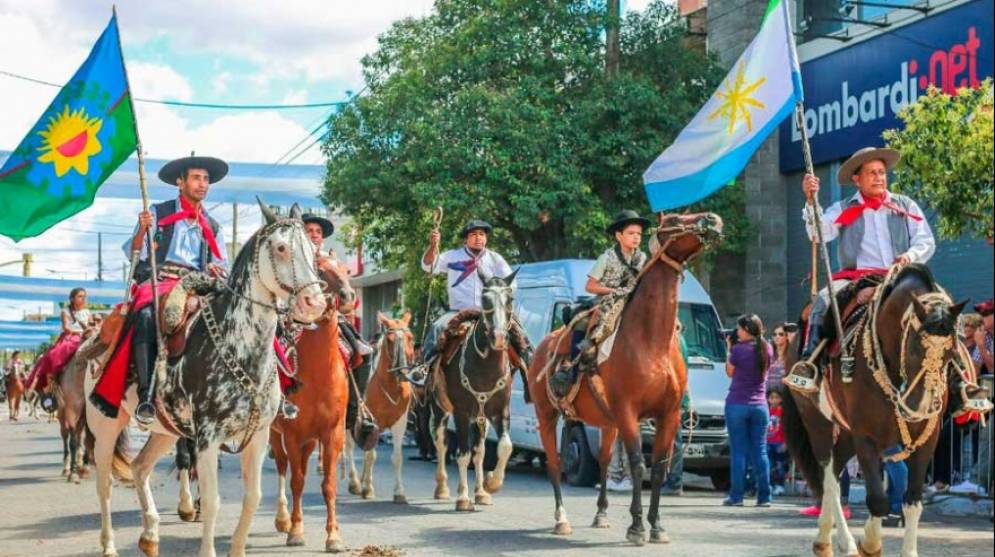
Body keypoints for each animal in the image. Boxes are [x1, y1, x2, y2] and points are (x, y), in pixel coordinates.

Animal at [84, 202, 326, 556]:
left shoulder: (259, 435)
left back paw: (150, 535)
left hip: (166, 430)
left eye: (312, 248)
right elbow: (211, 502)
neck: (239, 347)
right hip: (105, 425)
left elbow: (252, 498)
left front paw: (237, 549)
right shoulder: (208, 437)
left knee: (140, 467)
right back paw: (109, 545)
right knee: (104, 485)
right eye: (281, 248)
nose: (315, 304)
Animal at [270, 258, 356, 552]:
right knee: (282, 467)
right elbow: (296, 481)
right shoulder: (292, 434)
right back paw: (283, 519)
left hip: (309, 441)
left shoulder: (332, 434)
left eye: (346, 270)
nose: (348, 296)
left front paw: (334, 536)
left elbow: (328, 484)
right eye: (319, 269)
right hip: (275, 435)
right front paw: (295, 530)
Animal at [346, 310, 416, 502]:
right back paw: (355, 482)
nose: (402, 371)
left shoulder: (400, 422)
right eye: (390, 340)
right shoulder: (372, 421)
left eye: (410, 338)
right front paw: (368, 489)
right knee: (348, 447)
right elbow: (371, 455)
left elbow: (397, 457)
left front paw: (399, 492)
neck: (390, 385)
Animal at [528, 212, 724, 544]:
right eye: (674, 218)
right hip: (546, 414)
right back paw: (562, 519)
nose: (713, 219)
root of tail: (542, 347)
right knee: (554, 463)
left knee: (605, 460)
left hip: (606, 423)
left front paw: (657, 526)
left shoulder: (668, 415)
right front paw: (636, 526)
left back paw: (600, 514)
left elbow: (657, 467)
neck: (650, 341)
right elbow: (637, 463)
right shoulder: (629, 412)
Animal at [784, 264, 968, 556]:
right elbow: (878, 500)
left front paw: (907, 549)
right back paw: (843, 541)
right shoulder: (866, 437)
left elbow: (912, 502)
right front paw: (870, 543)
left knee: (836, 470)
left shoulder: (927, 440)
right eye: (914, 348)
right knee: (829, 477)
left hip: (846, 432)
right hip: (817, 421)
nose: (921, 407)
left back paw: (827, 539)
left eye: (952, 351)